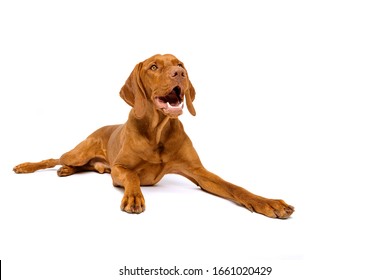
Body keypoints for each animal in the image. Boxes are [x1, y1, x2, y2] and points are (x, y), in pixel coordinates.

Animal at [12, 53, 294, 218]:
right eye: (154, 67)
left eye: (179, 65)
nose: (180, 74)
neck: (157, 132)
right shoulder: (120, 168)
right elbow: (133, 176)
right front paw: (133, 196)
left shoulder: (199, 172)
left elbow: (235, 187)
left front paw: (268, 202)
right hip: (79, 151)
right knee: (54, 158)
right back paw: (28, 166)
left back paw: (67, 171)